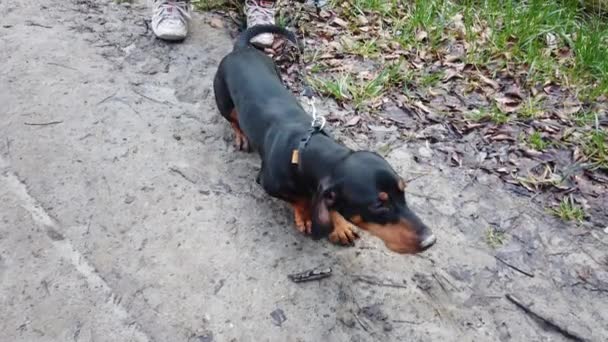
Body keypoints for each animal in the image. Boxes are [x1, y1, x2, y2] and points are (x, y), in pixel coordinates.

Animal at [214, 24, 436, 254]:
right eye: (377, 205)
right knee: (233, 119)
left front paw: (340, 226)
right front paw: (306, 217)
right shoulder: (267, 183)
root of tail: (241, 50)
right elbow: (300, 200)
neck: (303, 149)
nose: (430, 240)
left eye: (403, 190)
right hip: (223, 101)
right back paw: (240, 135)